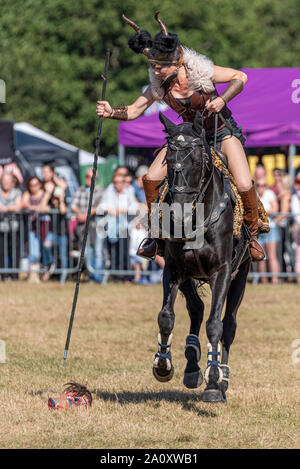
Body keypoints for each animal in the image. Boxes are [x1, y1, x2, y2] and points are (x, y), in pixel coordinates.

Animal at [151, 110, 252, 402]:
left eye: (198, 160)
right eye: (167, 160)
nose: (178, 215)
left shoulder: (223, 270)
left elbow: (215, 325)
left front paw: (214, 381)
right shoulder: (174, 268)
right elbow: (166, 316)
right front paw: (163, 365)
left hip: (242, 274)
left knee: (228, 324)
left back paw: (221, 377)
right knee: (196, 308)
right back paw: (192, 366)